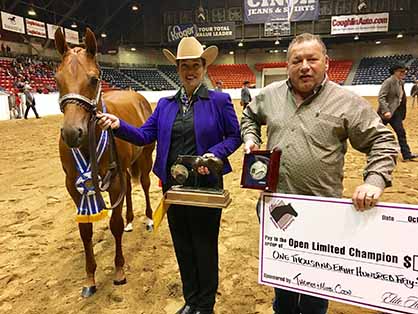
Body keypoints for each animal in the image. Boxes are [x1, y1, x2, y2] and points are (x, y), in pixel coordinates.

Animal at [54, 27, 154, 296]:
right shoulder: (74, 186)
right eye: (57, 80)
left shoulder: (114, 181)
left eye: (93, 79)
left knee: (145, 185)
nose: (72, 133)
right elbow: (85, 230)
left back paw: (149, 219)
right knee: (130, 188)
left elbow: (114, 224)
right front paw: (90, 278)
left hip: (145, 158)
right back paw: (131, 221)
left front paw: (119, 271)